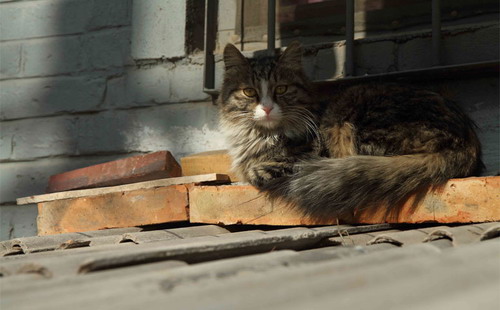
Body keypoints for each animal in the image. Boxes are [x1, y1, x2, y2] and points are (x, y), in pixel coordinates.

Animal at [217, 41, 482, 218]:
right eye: (249, 92)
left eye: (281, 89)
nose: (267, 108)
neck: (259, 135)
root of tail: (466, 140)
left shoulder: (303, 156)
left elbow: (260, 170)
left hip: (356, 121)